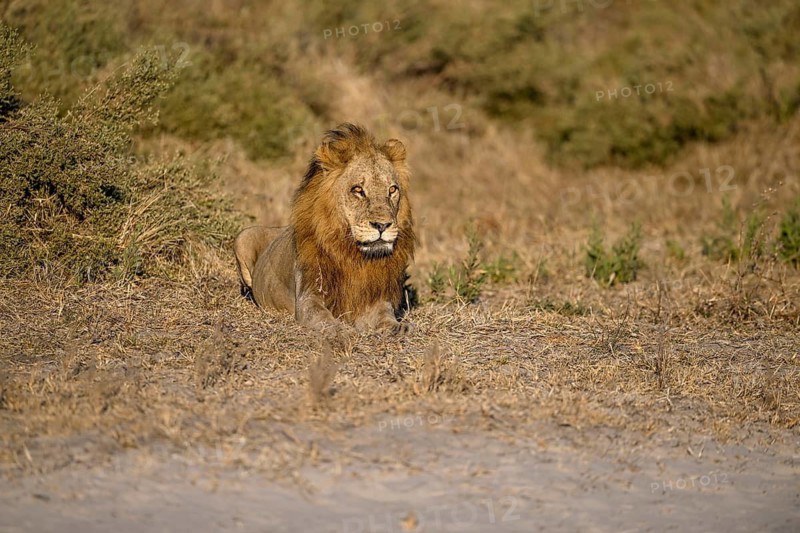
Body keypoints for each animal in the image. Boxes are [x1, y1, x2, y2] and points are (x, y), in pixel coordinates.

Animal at [233, 123, 415, 333]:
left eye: (392, 189)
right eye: (358, 190)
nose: (382, 225)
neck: (354, 255)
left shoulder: (374, 299)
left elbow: (385, 315)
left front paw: (399, 327)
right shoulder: (308, 297)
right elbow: (323, 318)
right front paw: (341, 329)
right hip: (243, 236)